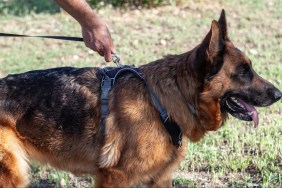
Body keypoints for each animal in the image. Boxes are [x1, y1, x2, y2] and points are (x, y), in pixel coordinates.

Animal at [0, 11, 282, 187]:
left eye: (250, 68)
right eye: (244, 71)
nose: (279, 94)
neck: (163, 102)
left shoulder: (160, 179)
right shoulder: (115, 178)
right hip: (12, 176)